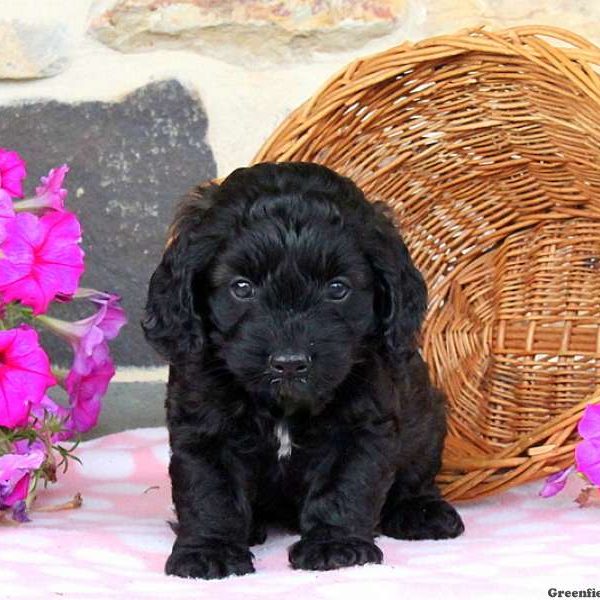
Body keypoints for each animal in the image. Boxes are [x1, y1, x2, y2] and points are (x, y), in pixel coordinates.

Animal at [142, 162, 464, 580]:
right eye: (241, 287)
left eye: (338, 288)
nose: (290, 363)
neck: (283, 405)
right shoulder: (203, 427)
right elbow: (210, 490)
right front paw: (208, 551)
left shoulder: (361, 426)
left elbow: (344, 486)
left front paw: (336, 547)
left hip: (426, 418)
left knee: (416, 474)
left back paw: (421, 511)